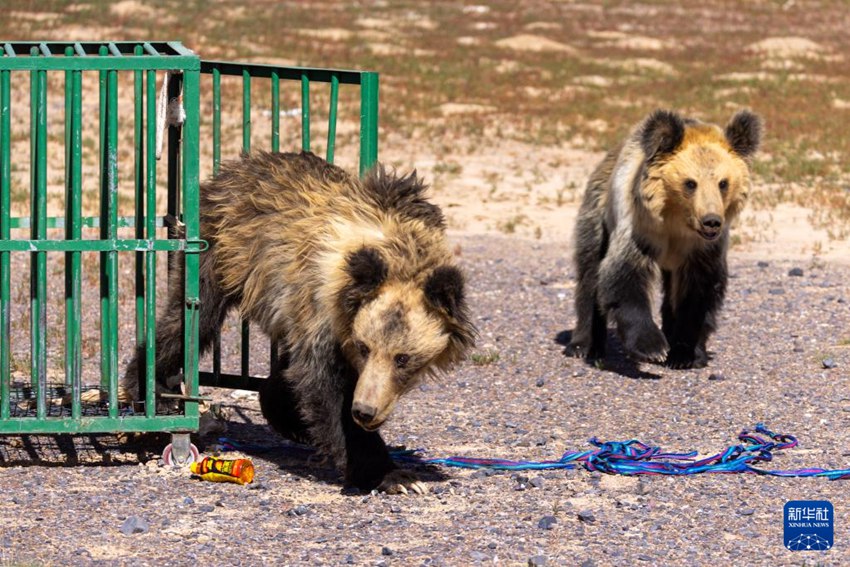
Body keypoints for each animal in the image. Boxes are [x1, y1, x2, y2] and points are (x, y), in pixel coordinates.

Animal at [122, 151, 474, 492]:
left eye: (403, 358)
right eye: (364, 347)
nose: (365, 410)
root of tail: (232, 170)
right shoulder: (322, 306)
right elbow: (323, 383)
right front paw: (392, 475)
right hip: (217, 253)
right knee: (191, 321)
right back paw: (150, 387)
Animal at [568, 110, 760, 368]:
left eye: (723, 183)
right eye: (690, 183)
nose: (711, 221)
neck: (677, 223)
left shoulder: (702, 249)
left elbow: (698, 293)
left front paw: (686, 353)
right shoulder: (641, 228)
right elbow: (624, 275)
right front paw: (653, 347)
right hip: (598, 211)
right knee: (590, 273)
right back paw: (583, 345)